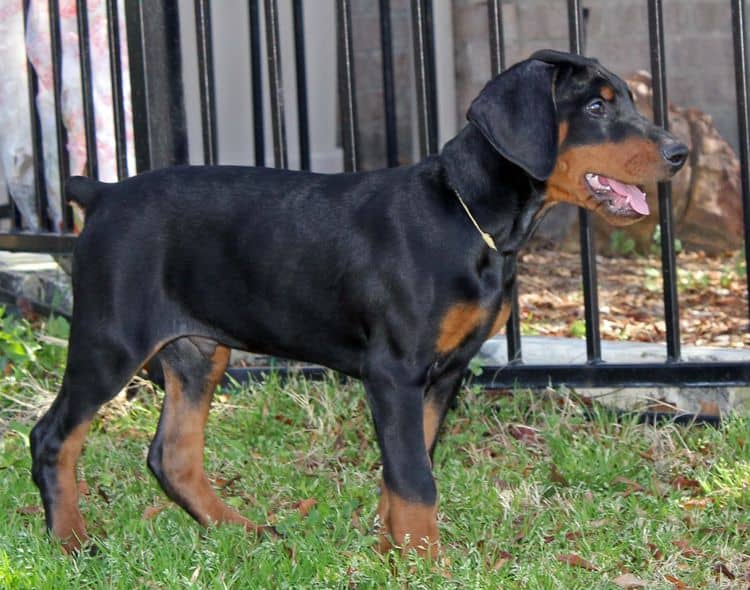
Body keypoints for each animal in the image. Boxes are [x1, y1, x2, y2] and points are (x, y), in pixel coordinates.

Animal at [27, 51, 688, 560]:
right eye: (597, 108)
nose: (679, 152)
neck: (467, 216)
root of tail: (103, 193)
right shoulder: (394, 371)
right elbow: (415, 479)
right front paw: (427, 564)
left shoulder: (442, 376)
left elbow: (405, 469)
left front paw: (394, 553)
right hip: (110, 341)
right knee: (53, 436)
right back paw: (72, 544)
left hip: (197, 353)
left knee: (173, 456)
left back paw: (244, 531)